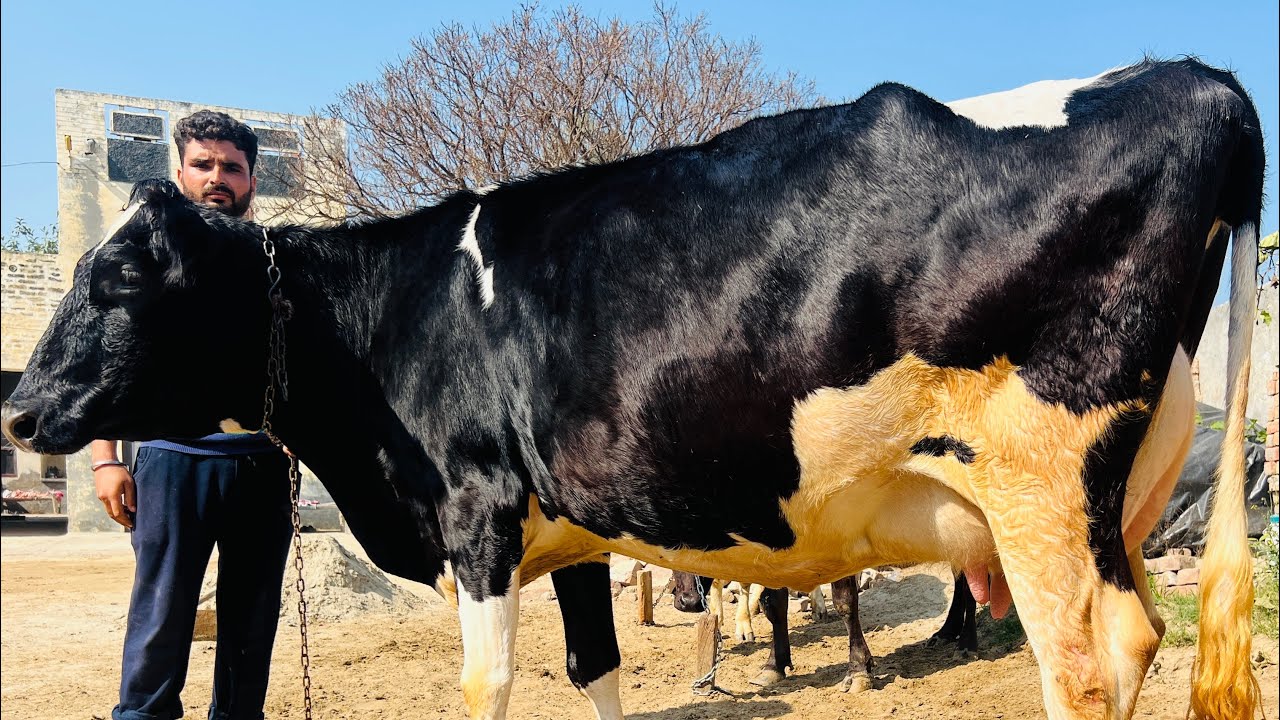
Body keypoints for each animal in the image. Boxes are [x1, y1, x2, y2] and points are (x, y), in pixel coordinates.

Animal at [1, 58, 1264, 720]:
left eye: (117, 281)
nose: (16, 410)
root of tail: (1202, 82)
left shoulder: (477, 518)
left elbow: (488, 687)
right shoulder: (569, 532)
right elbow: (593, 669)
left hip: (1041, 481)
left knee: (1094, 660)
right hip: (1103, 495)